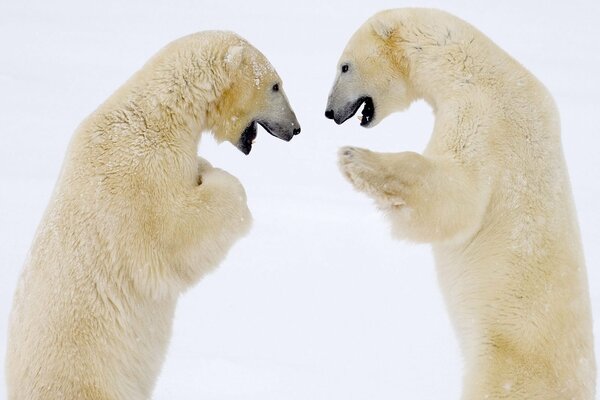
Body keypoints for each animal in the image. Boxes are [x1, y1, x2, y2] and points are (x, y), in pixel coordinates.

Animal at [5, 31, 300, 400]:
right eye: (275, 85)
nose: (296, 128)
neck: (158, 113)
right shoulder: (139, 173)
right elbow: (173, 236)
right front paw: (217, 178)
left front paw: (204, 166)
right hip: (90, 379)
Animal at [326, 7, 596, 398]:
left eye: (344, 66)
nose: (329, 112)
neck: (473, 67)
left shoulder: (484, 116)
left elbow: (457, 199)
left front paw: (355, 159)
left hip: (505, 362)